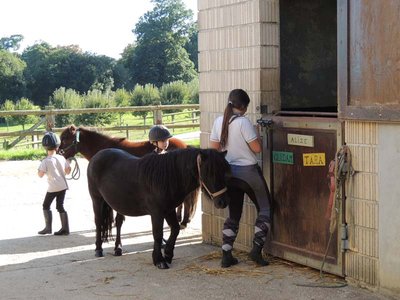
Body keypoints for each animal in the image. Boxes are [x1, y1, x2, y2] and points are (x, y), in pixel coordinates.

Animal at [87, 149, 231, 268]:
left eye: (224, 171)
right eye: (210, 173)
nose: (222, 202)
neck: (167, 177)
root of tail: (97, 155)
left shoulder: (169, 210)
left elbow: (175, 229)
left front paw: (168, 254)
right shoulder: (157, 213)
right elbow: (158, 234)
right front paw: (159, 260)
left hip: (118, 203)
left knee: (118, 223)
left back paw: (118, 248)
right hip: (97, 199)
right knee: (98, 222)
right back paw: (98, 249)